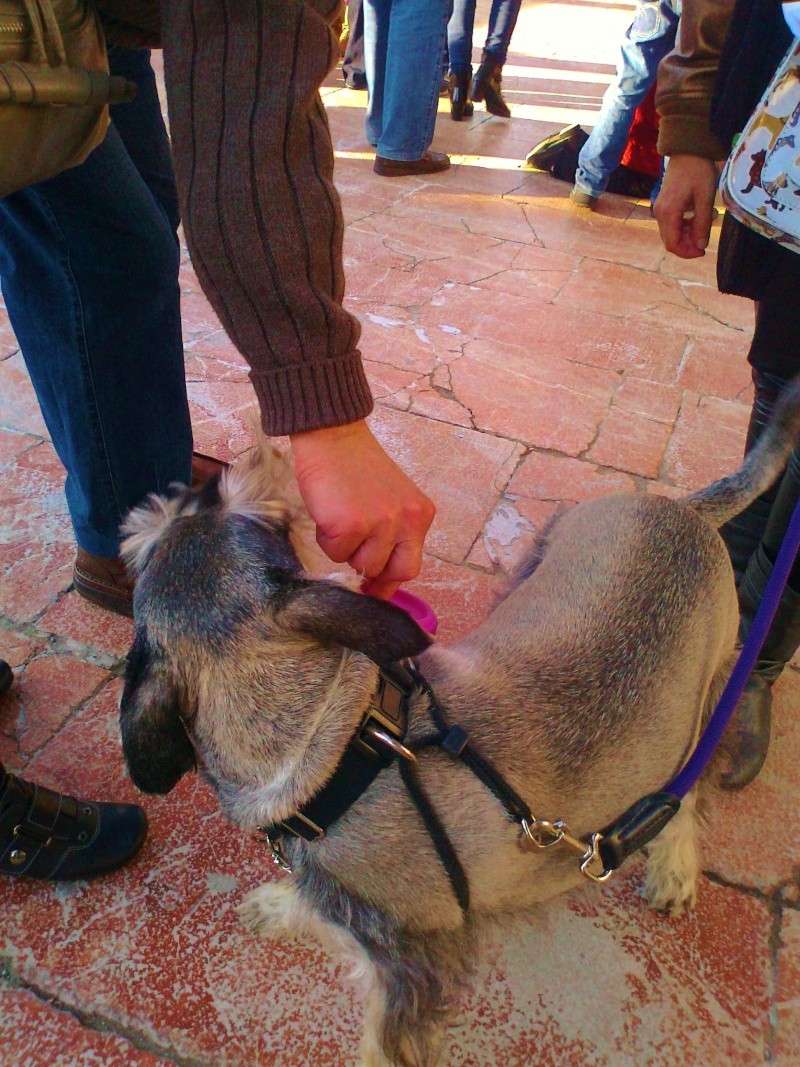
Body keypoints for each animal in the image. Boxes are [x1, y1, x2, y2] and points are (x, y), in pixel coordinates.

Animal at [118, 386, 800, 1067]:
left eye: (235, 508)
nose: (197, 482)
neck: (337, 755)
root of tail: (682, 509)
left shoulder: (410, 975)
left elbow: (382, 1046)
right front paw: (281, 906)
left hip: (712, 691)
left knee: (689, 791)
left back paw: (674, 871)